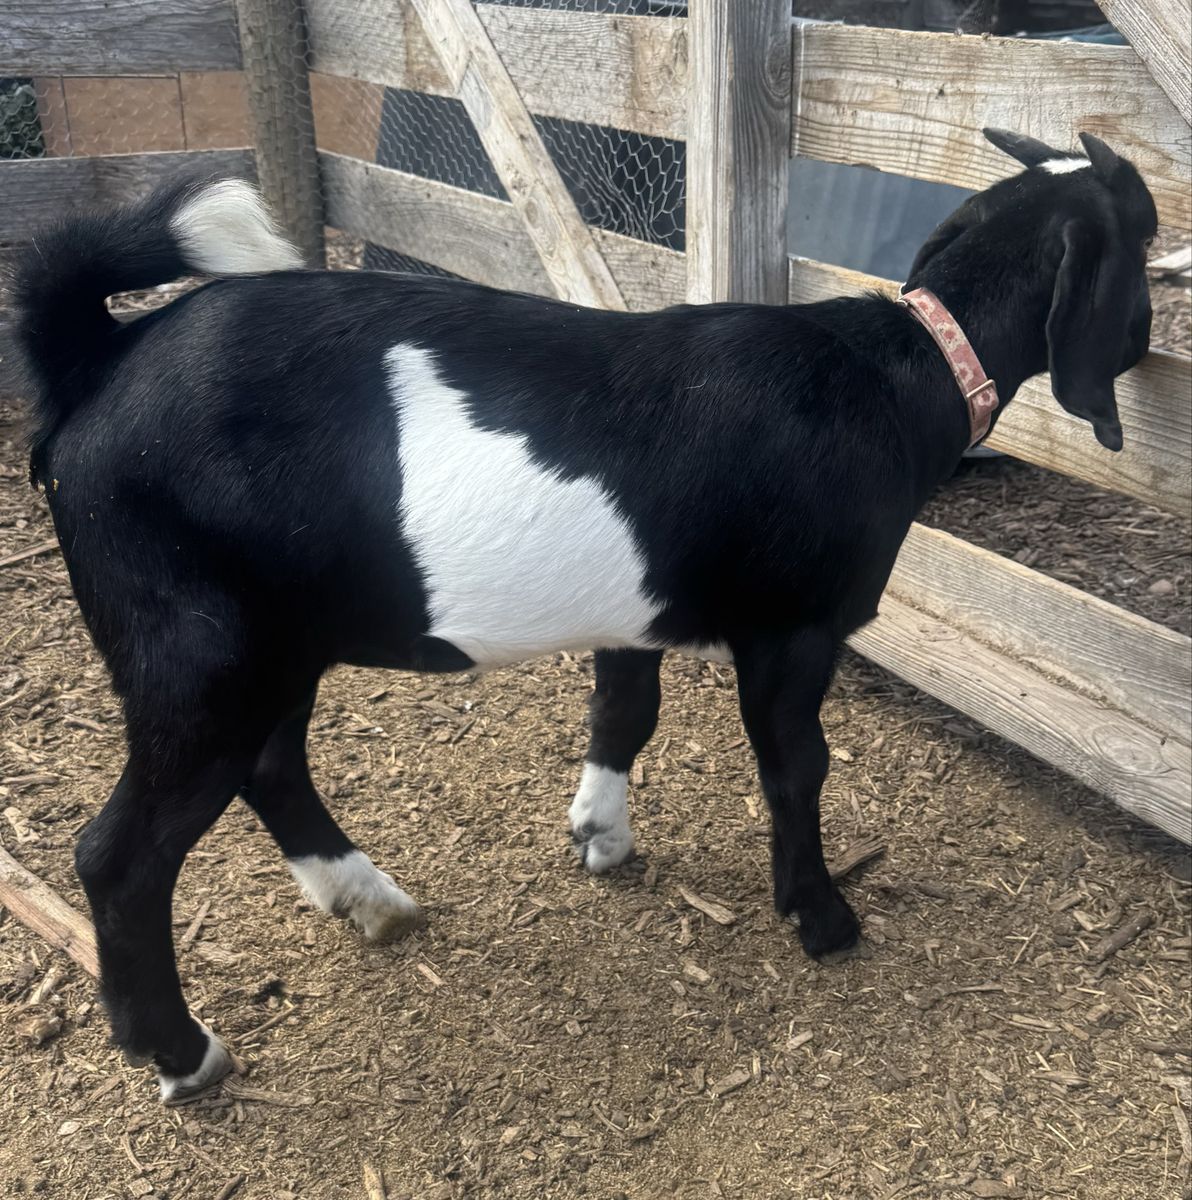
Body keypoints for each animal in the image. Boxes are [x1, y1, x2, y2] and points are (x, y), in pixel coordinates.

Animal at [11, 129, 1156, 1100]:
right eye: (1144, 229)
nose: (1147, 344)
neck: (895, 371)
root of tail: (94, 366)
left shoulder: (631, 616)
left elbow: (623, 711)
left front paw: (601, 837)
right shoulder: (794, 629)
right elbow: (796, 766)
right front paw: (823, 917)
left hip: (275, 642)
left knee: (271, 765)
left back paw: (370, 901)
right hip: (195, 646)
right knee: (119, 856)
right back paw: (183, 1052)